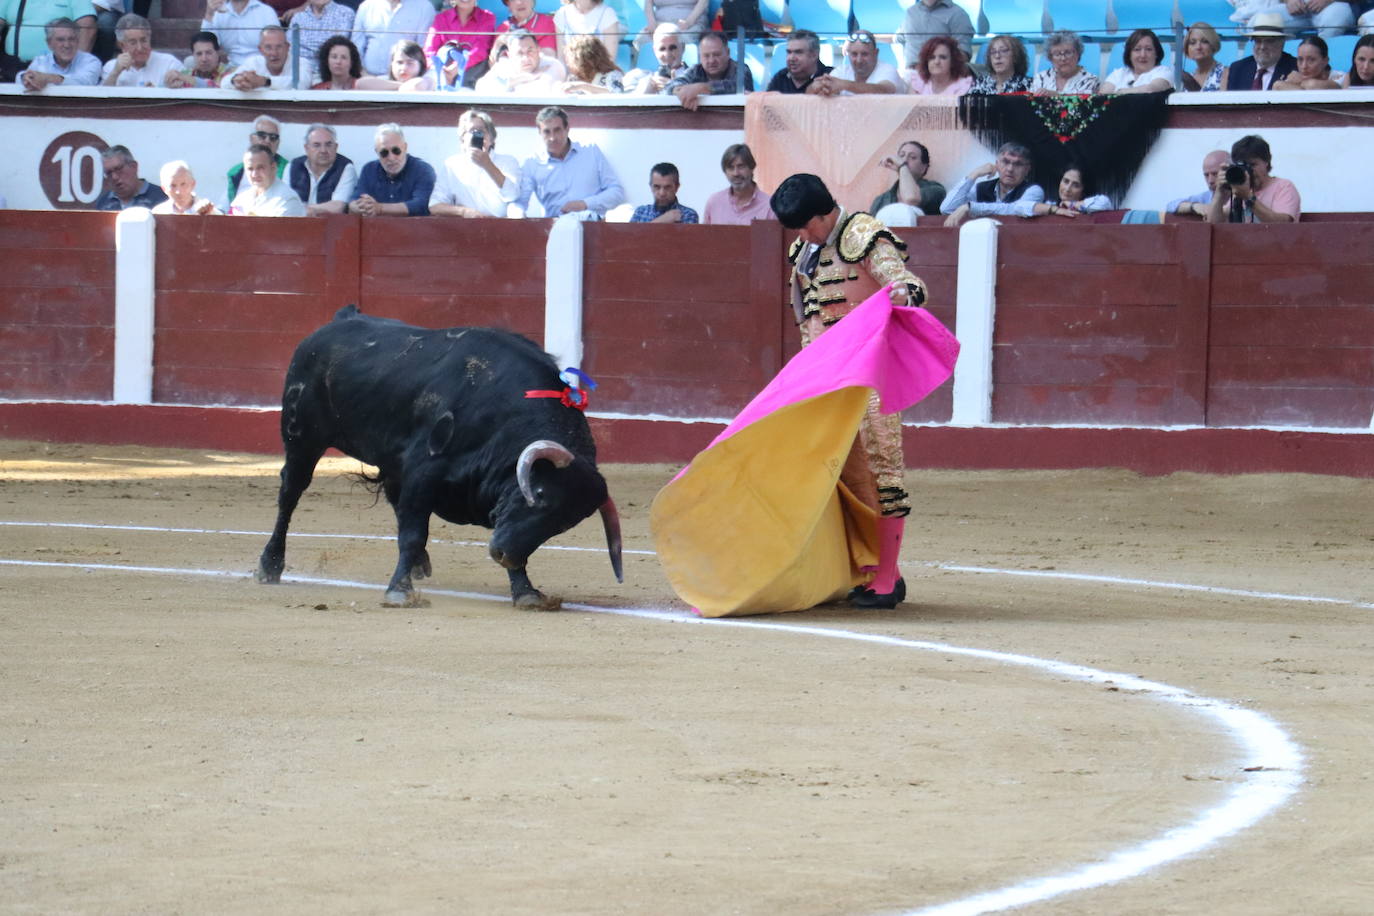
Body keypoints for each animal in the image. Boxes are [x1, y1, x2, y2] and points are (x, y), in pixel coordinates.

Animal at [256, 306, 623, 609]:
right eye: (541, 495)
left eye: (563, 524)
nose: (503, 554)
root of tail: (341, 318)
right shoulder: (424, 471)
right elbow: (414, 532)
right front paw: (399, 592)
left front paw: (526, 592)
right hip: (302, 438)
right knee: (290, 495)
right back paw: (269, 566)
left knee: (393, 499)